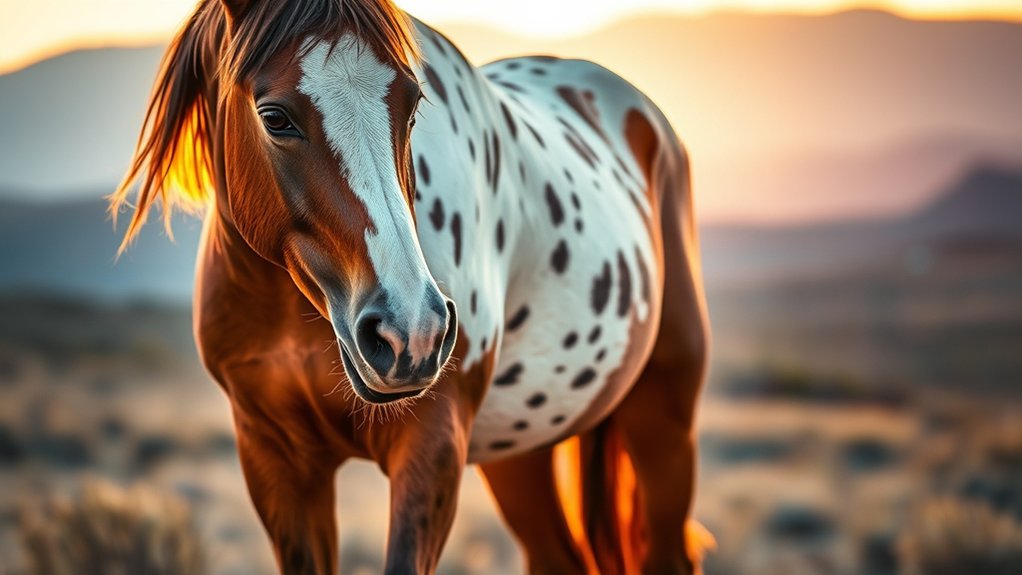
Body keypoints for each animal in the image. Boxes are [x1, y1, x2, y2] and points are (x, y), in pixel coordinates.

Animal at [112, 0, 710, 573]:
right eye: (274, 117)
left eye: (414, 105)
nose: (412, 334)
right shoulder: (275, 459)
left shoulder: (432, 446)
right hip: (519, 453)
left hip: (663, 421)